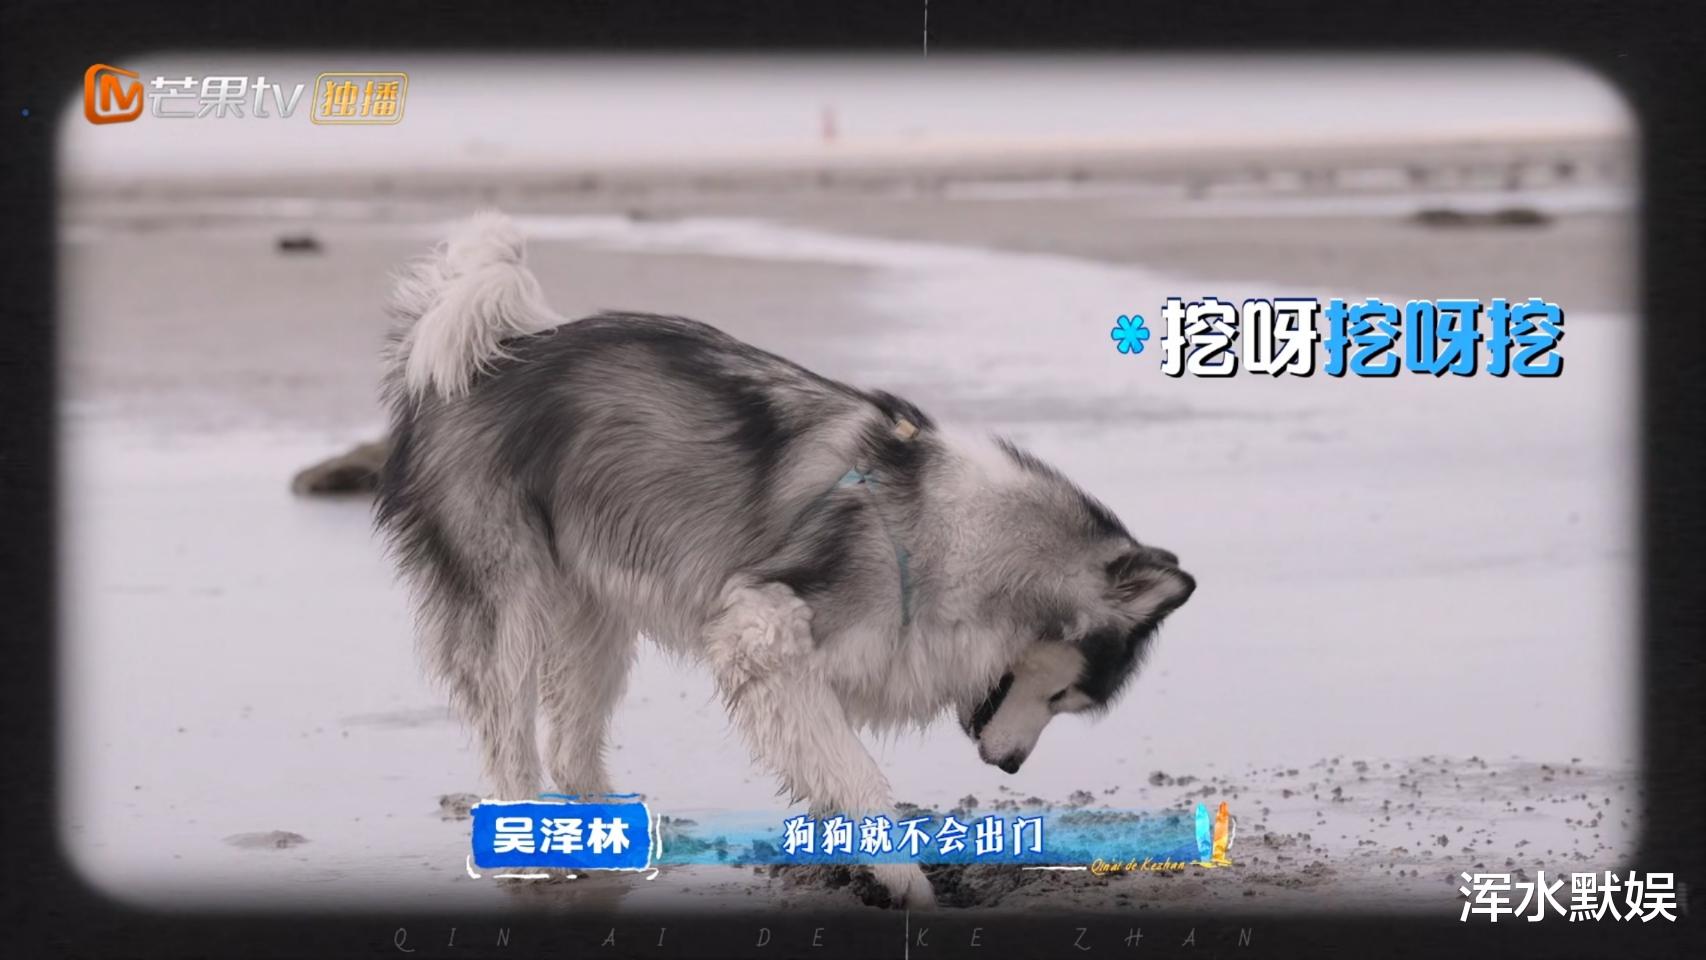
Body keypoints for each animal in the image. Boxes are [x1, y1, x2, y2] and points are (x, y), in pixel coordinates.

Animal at [375, 213, 1196, 908]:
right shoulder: (763, 631)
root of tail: (490, 356)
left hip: (594, 616)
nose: (1011, 769)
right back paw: (531, 855)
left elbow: (827, 762)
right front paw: (906, 882)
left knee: (574, 745)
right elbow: (855, 771)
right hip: (511, 604)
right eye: (1060, 697)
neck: (955, 540)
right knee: (510, 734)